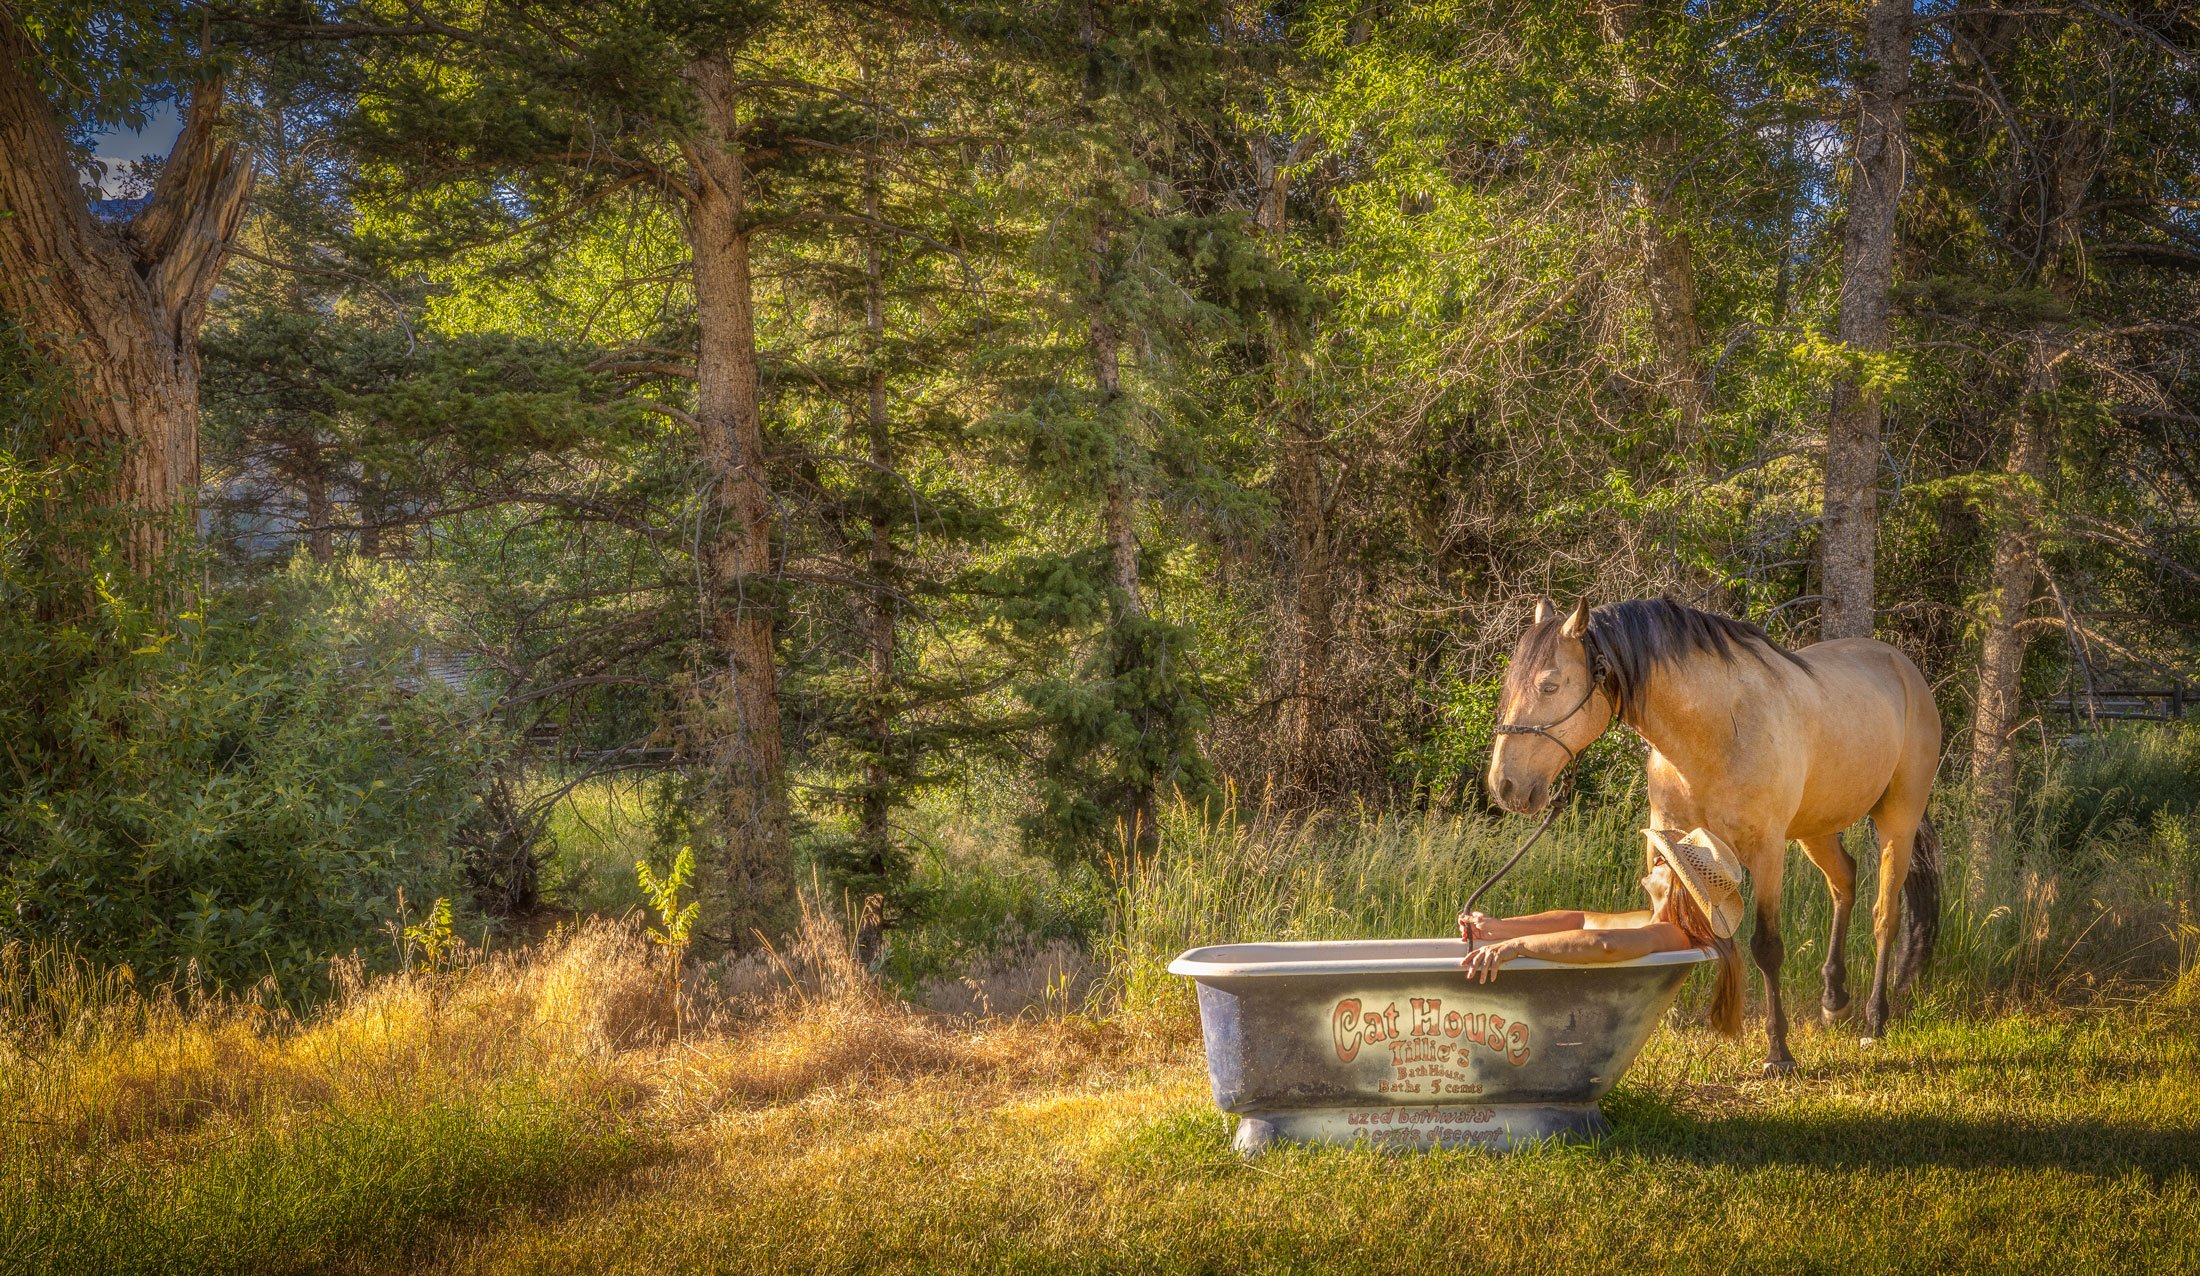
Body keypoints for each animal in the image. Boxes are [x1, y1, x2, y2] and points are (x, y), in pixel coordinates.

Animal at [1478, 598, 1944, 1078]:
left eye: (1549, 685)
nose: (1504, 785)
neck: (1715, 730)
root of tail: (1903, 668)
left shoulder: (1767, 852)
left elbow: (1766, 947)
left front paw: (1778, 1051)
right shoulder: (1663, 842)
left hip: (1897, 819)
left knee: (1885, 914)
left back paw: (1875, 1019)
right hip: (1816, 828)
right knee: (1844, 882)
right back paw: (1834, 1001)